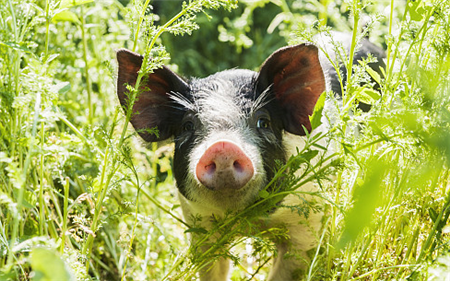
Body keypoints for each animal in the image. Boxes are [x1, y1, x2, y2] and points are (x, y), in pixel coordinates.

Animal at [117, 34, 386, 278]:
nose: (222, 146)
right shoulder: (198, 224)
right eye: (187, 126)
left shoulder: (308, 224)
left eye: (263, 122)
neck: (250, 222)